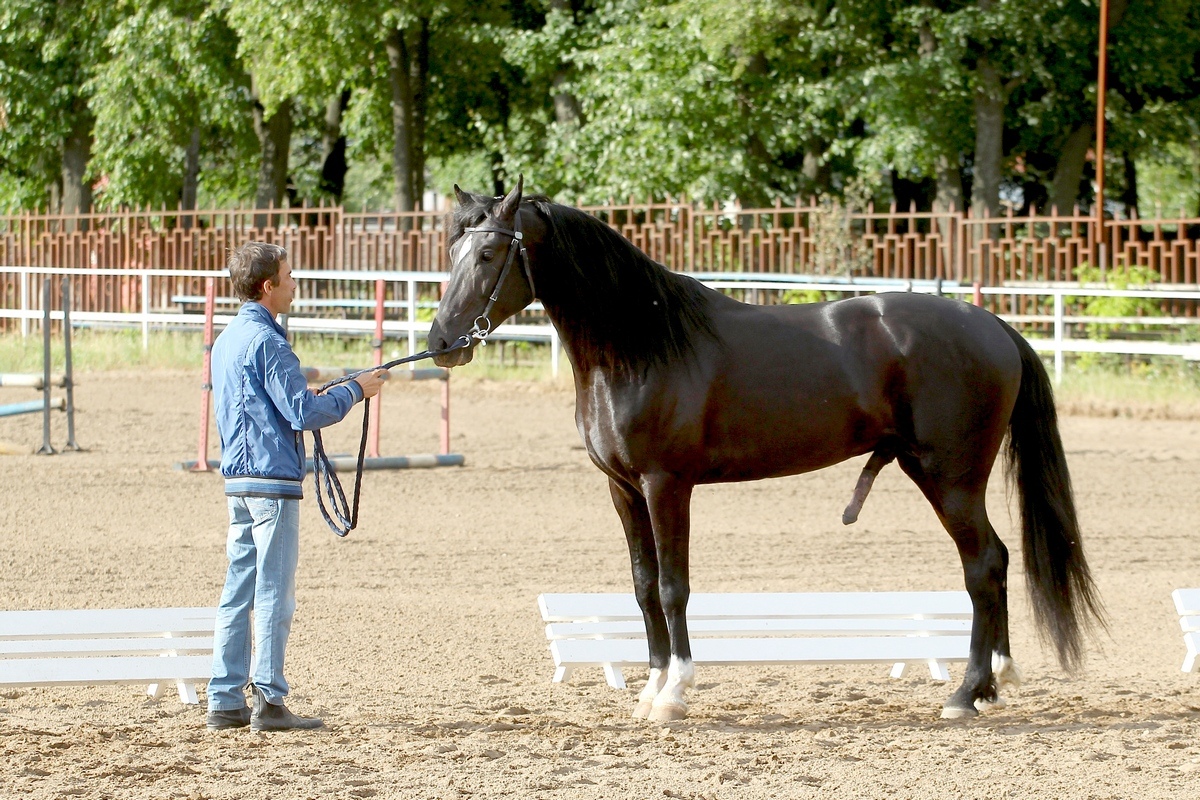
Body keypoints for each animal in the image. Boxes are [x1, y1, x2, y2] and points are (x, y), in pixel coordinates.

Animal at [428, 179, 1104, 722]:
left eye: (488, 253)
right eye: (452, 251)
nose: (441, 343)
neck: (641, 345)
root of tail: (992, 326)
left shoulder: (665, 485)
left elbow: (673, 587)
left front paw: (675, 693)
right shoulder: (623, 491)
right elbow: (643, 587)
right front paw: (650, 688)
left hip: (950, 478)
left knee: (984, 565)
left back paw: (967, 693)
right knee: (995, 563)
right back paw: (992, 684)